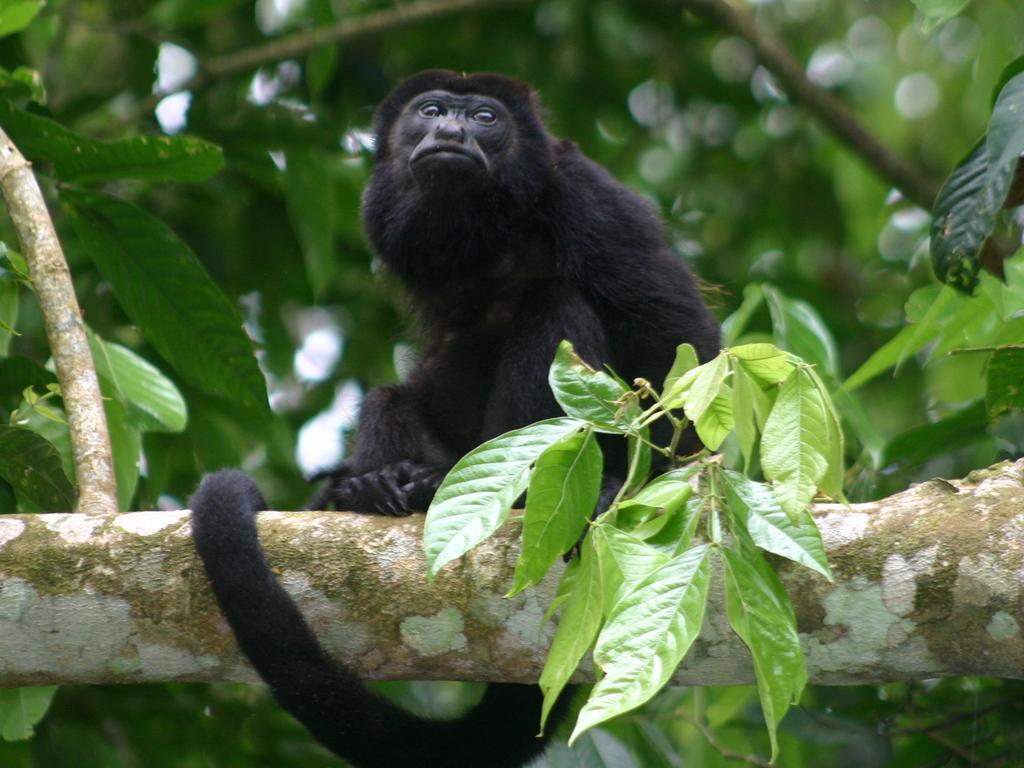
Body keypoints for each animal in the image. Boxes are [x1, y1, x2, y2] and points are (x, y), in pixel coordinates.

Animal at [192, 70, 720, 768]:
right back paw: (385, 489)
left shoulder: (588, 196)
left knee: (557, 308)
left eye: (485, 117)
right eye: (432, 110)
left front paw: (639, 488)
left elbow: (673, 331)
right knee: (388, 398)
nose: (450, 130)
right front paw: (353, 485)